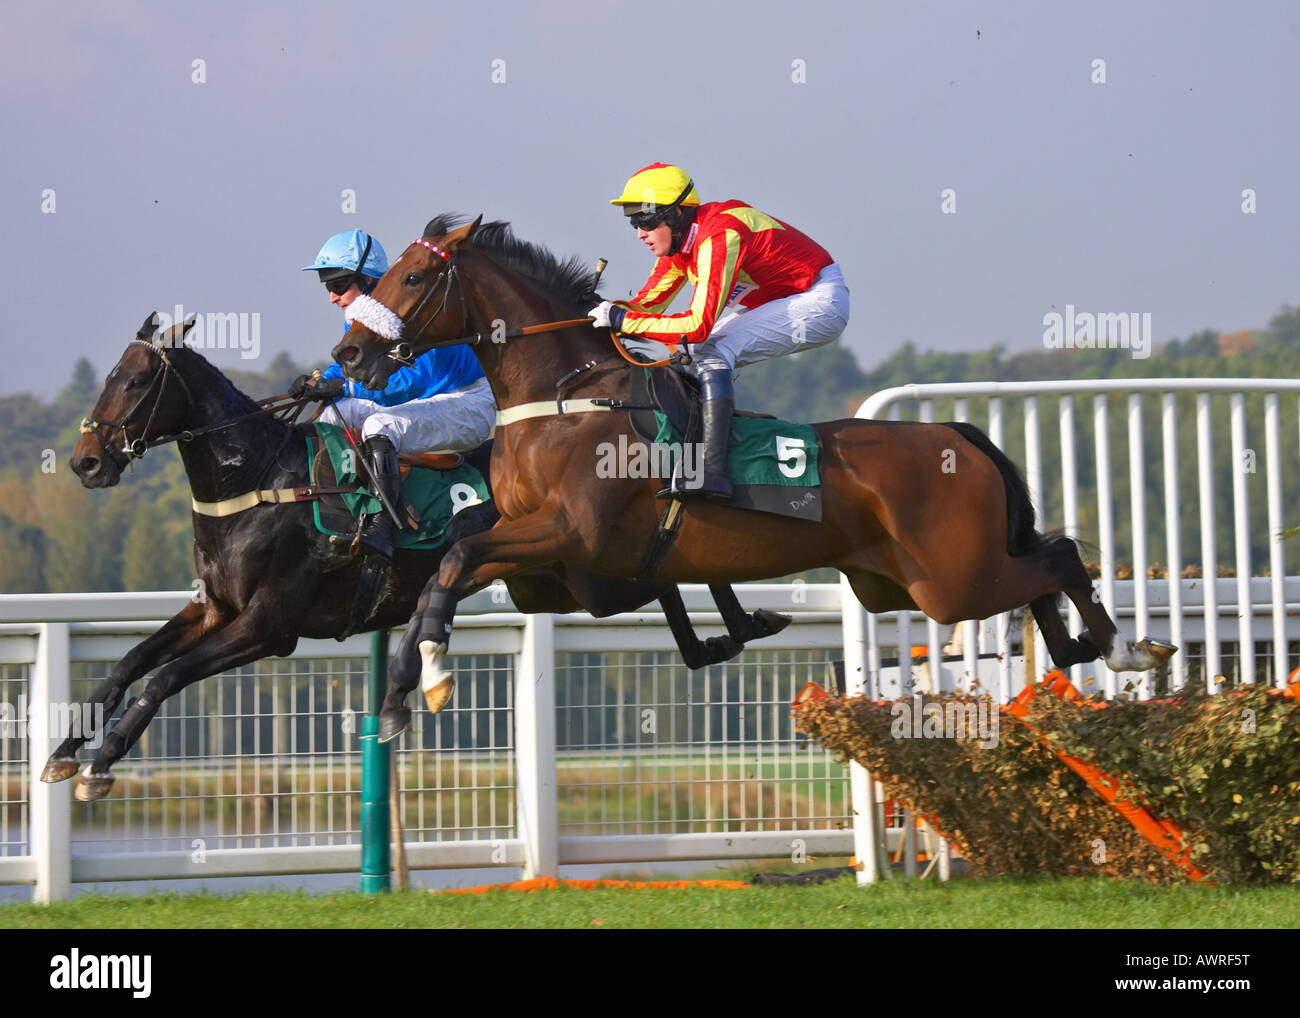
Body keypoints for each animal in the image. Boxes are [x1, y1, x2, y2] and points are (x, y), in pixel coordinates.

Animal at [49, 312, 790, 800]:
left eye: (135, 380)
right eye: (110, 375)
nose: (86, 461)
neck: (259, 480)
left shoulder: (268, 625)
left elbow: (163, 678)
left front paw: (101, 765)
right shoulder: (214, 610)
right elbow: (126, 665)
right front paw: (62, 752)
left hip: (589, 575)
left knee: (675, 569)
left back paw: (740, 624)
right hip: (567, 582)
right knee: (666, 577)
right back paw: (730, 632)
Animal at [328, 214, 1176, 717]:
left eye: (411, 277)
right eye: (384, 275)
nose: (349, 355)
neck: (561, 398)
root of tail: (958, 436)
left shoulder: (573, 533)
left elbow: (456, 558)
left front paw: (428, 675)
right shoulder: (535, 542)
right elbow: (449, 570)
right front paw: (411, 678)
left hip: (949, 583)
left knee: (1058, 558)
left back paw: (1125, 648)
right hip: (905, 581)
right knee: (1043, 566)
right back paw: (1080, 649)